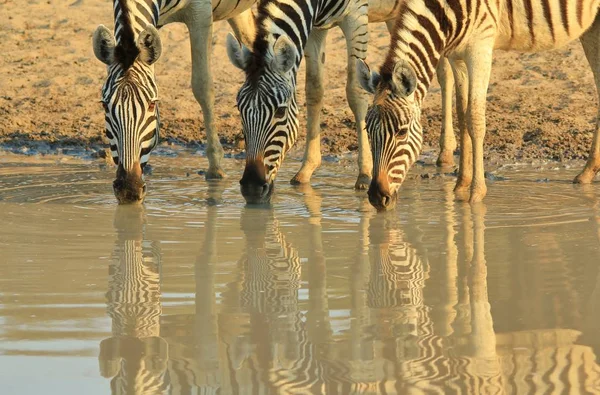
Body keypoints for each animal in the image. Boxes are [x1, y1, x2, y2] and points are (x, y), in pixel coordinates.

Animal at [91, 0, 255, 204]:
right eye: (105, 105)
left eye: (152, 104)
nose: (129, 191)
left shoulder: (201, 12)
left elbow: (202, 86)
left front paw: (216, 167)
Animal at [356, 0, 600, 210]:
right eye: (368, 130)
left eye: (402, 132)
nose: (377, 197)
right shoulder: (457, 56)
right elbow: (462, 114)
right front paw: (460, 185)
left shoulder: (480, 49)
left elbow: (474, 119)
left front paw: (476, 194)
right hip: (591, 28)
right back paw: (587, 172)